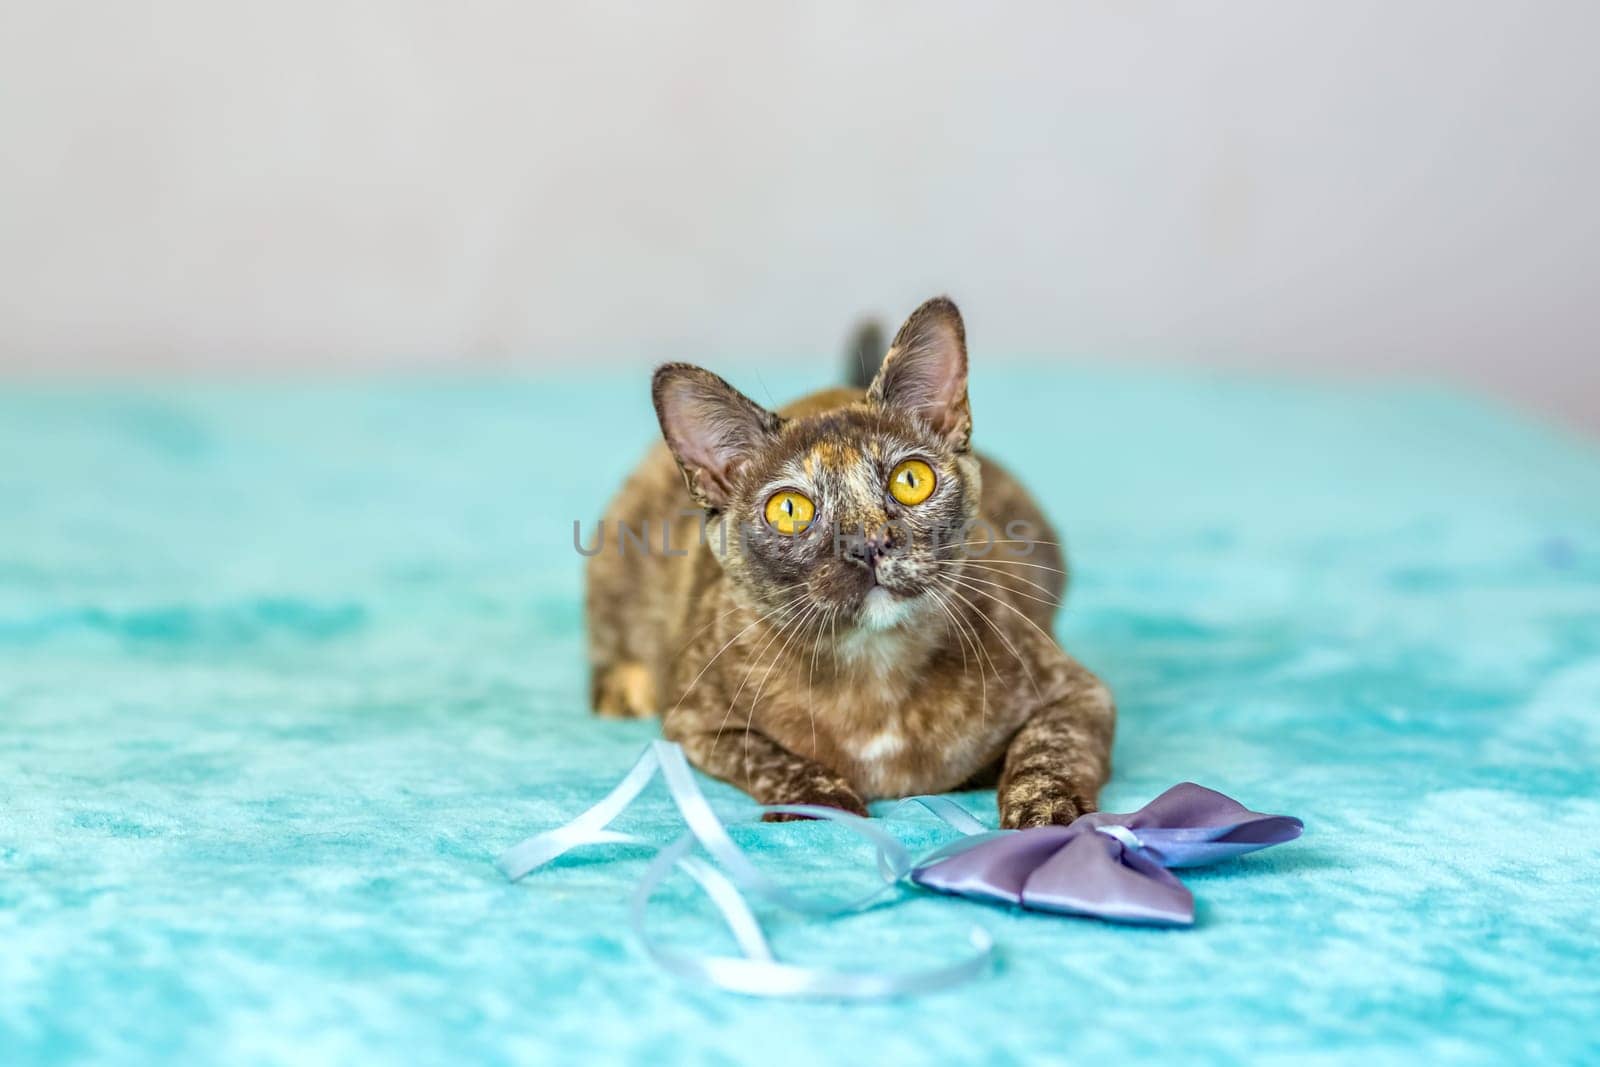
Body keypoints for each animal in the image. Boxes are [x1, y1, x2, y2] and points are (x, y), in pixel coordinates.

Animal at [585, 295, 1113, 831]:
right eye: (790, 510)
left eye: (911, 480)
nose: (867, 543)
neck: (875, 668)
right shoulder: (695, 722)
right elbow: (765, 756)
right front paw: (820, 800)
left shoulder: (1079, 693)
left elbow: (1047, 748)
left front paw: (1048, 811)